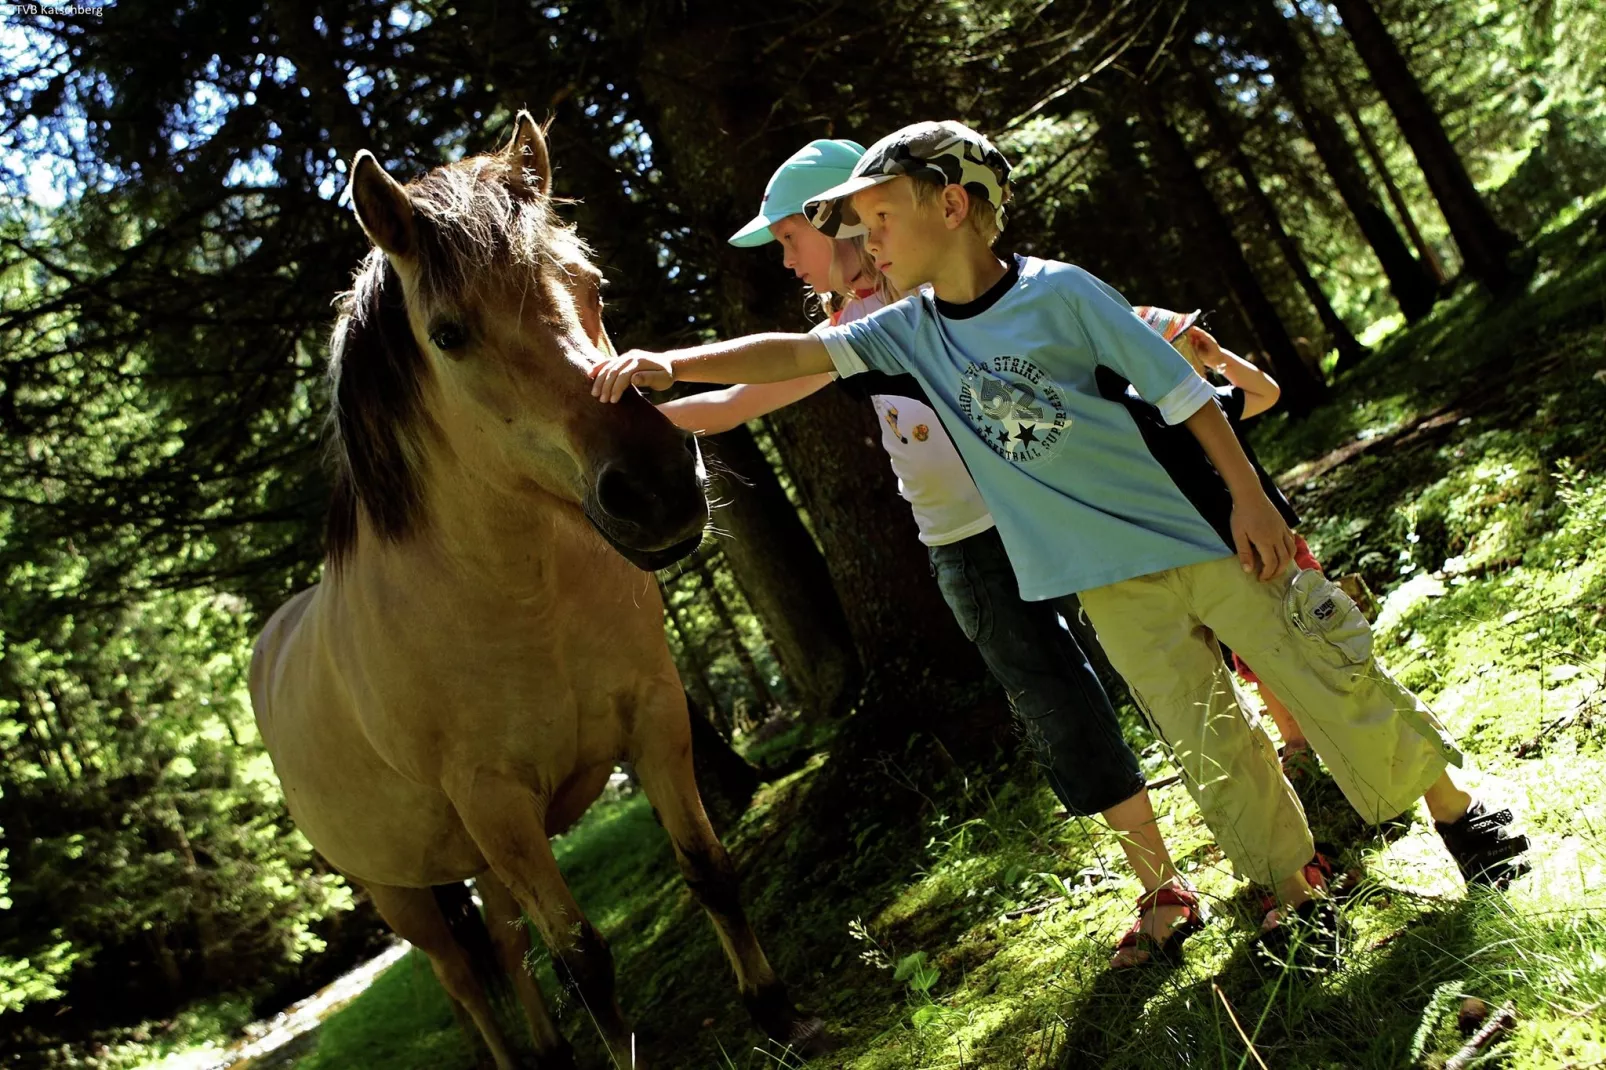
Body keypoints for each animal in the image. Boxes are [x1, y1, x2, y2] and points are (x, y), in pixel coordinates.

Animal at [253, 116, 828, 1066]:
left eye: (590, 283)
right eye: (448, 333)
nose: (658, 486)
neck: (520, 601)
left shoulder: (656, 715)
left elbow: (708, 869)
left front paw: (780, 1014)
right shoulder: (496, 803)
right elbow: (583, 954)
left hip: (482, 860)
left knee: (506, 943)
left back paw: (550, 1052)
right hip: (401, 890)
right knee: (461, 977)